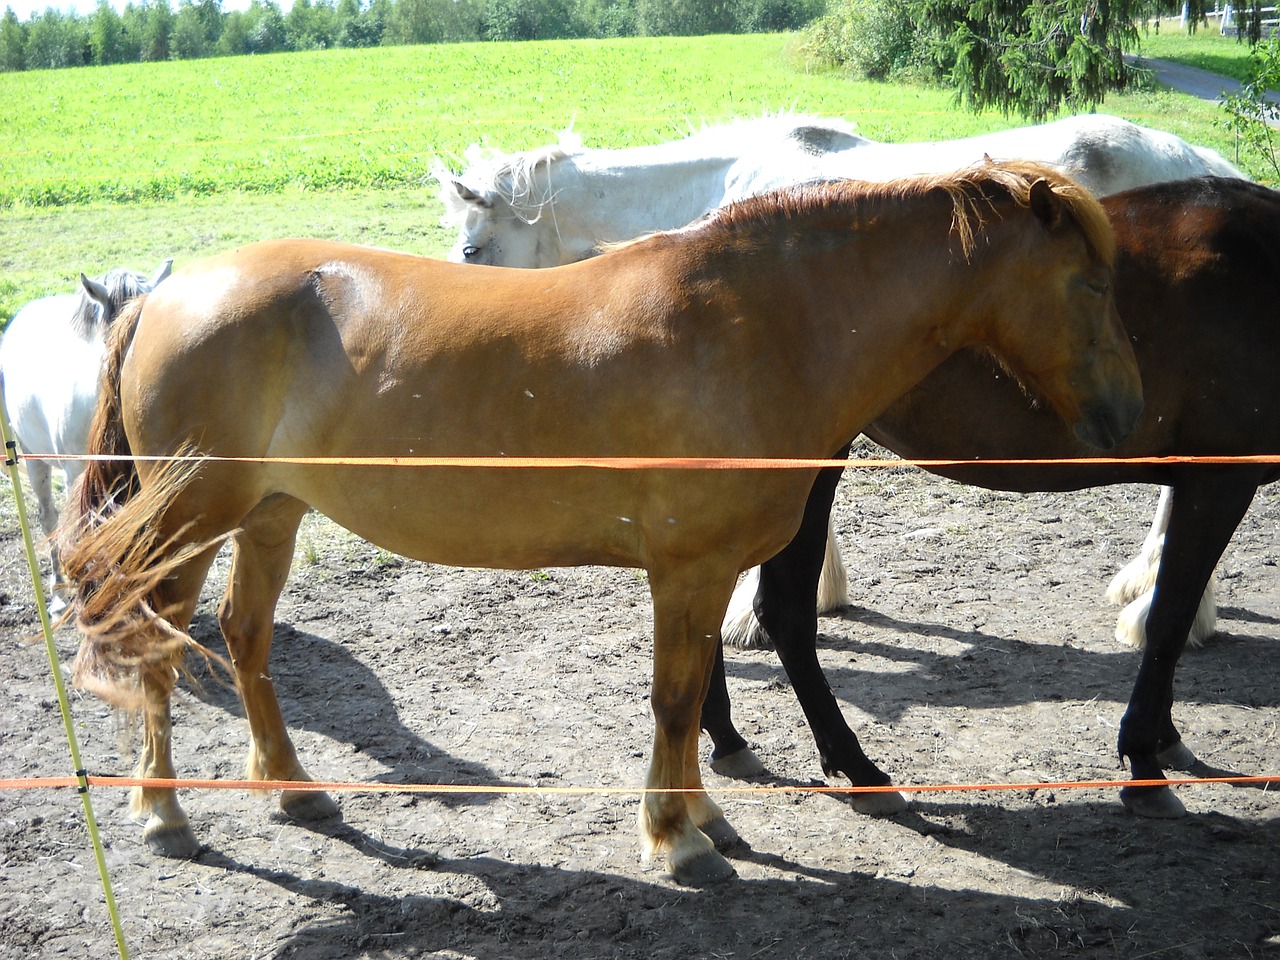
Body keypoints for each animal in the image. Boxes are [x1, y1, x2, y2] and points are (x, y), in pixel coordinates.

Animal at [60, 160, 1141, 885]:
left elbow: (695, 692)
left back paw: (294, 789)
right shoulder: (687, 569)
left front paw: (707, 820)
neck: (758, 323)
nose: (1121, 419)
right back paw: (165, 818)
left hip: (271, 516)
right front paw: (676, 841)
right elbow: (673, 699)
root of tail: (165, 298)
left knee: (243, 637)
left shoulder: (708, 573)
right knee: (159, 644)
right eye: (1088, 282)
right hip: (192, 524)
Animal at [701, 176, 1280, 824]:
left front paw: (1163, 735)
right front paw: (1144, 761)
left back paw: (727, 737)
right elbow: (1170, 617)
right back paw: (857, 768)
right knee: (783, 611)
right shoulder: (1219, 481)